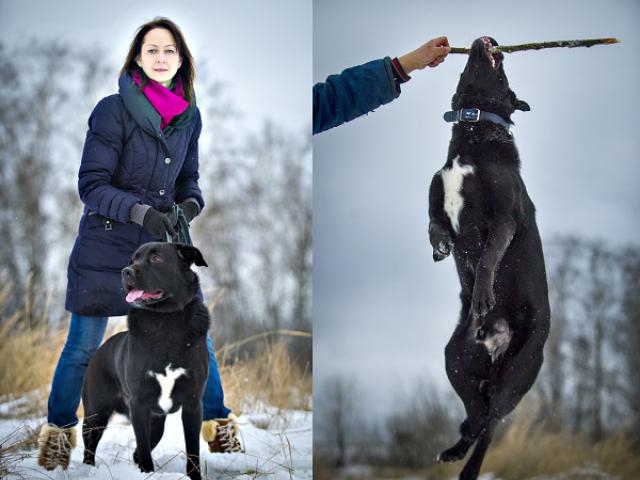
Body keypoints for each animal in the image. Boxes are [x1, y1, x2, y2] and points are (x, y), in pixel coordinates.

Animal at [79, 244, 210, 480]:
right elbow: (143, 446)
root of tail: (100, 349)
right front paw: (147, 472)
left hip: (156, 422)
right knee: (90, 447)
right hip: (96, 413)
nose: (126, 271)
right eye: (133, 259)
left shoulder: (193, 403)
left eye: (156, 258)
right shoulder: (139, 403)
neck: (165, 318)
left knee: (139, 449)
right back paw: (88, 470)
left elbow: (193, 449)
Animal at [430, 35, 552, 478]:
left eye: (502, 74)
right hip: (457, 360)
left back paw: (469, 467)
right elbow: (434, 225)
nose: (492, 39)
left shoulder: (503, 219)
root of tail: (494, 341)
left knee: (492, 423)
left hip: (516, 375)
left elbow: (486, 259)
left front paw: (482, 295)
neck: (474, 132)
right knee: (477, 413)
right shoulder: (436, 200)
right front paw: (440, 248)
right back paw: (453, 450)